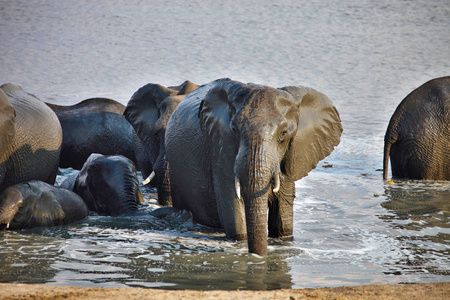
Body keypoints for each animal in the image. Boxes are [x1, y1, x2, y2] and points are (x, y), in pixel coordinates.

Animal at [165, 78, 342, 255]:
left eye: (284, 133)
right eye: (234, 129)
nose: (260, 257)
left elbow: (283, 214)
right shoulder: (220, 146)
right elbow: (232, 203)